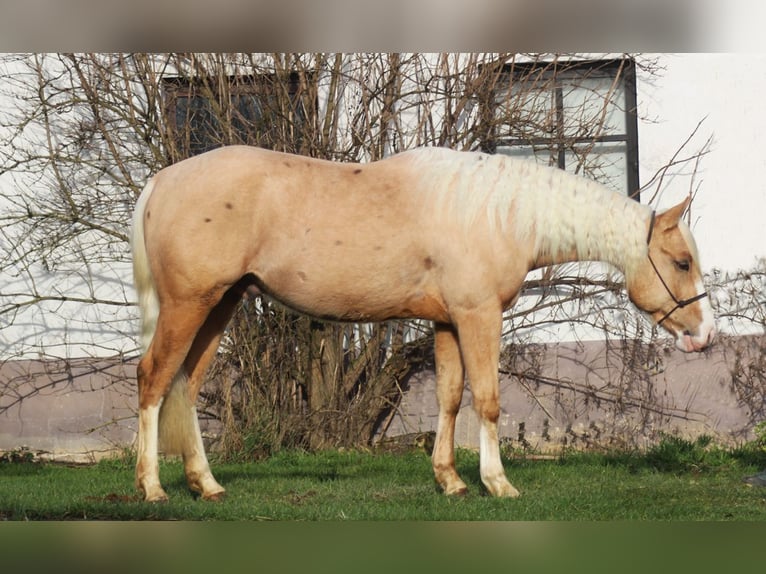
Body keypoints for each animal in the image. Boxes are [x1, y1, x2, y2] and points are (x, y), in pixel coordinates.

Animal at [130, 145, 716, 502]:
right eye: (681, 262)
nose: (704, 336)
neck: (496, 214)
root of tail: (161, 181)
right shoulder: (478, 315)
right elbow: (488, 399)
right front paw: (497, 483)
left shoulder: (447, 323)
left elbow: (450, 398)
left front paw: (450, 480)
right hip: (189, 305)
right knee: (154, 379)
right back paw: (152, 488)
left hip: (220, 305)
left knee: (186, 385)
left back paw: (206, 485)